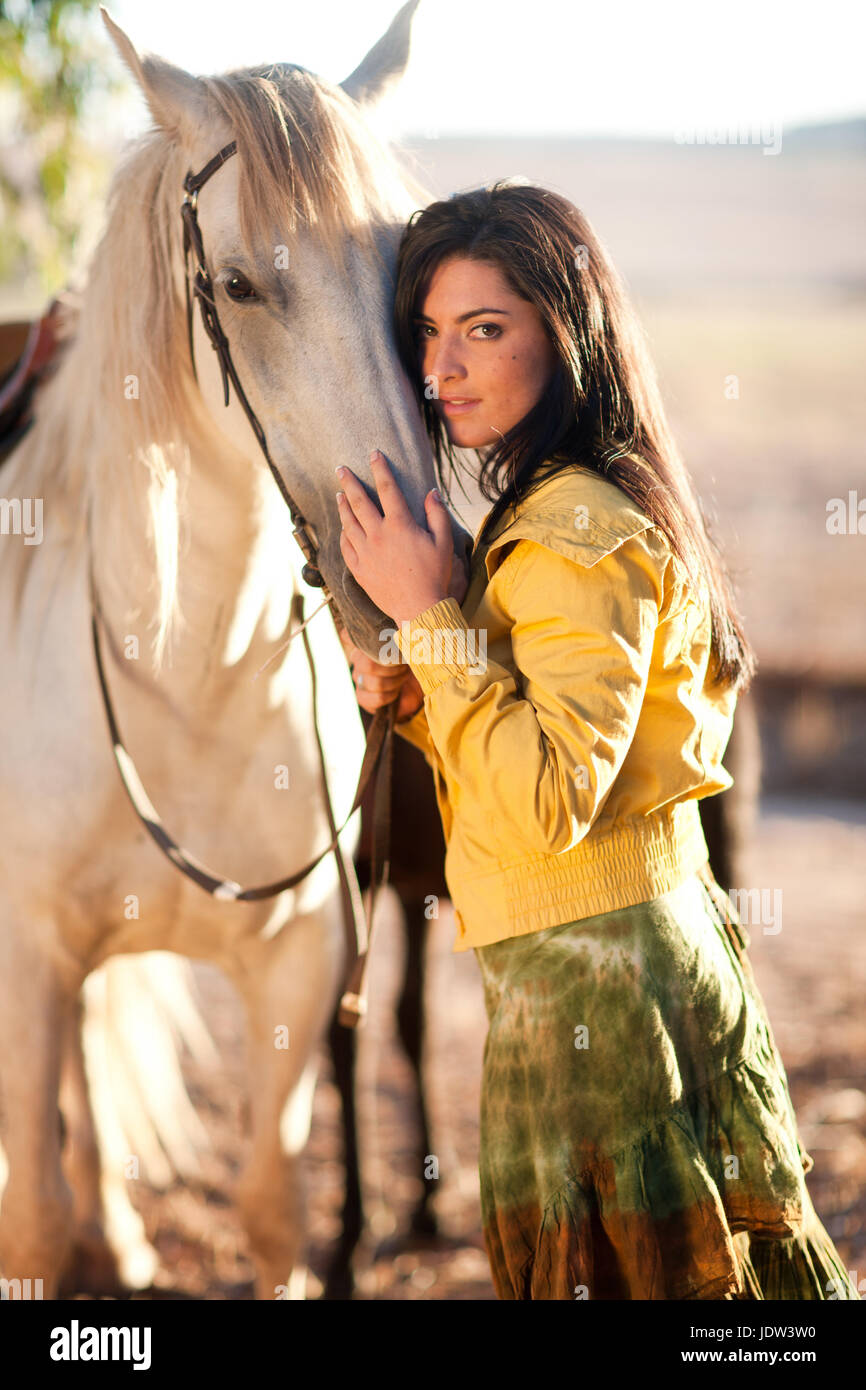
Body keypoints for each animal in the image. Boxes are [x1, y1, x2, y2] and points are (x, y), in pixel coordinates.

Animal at [0, 0, 473, 1300]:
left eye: (406, 272)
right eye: (236, 286)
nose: (407, 580)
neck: (187, 680)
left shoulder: (298, 972)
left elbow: (269, 1206)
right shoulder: (25, 963)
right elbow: (30, 1219)